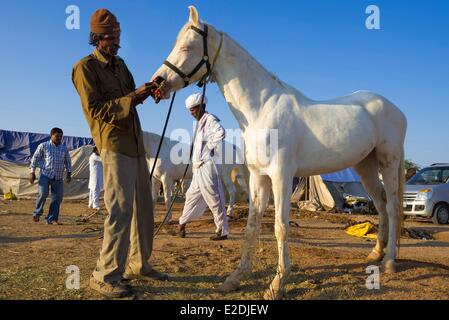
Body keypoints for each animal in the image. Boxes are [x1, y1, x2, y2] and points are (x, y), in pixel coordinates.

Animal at [152, 6, 408, 298]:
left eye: (186, 46)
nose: (158, 82)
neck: (261, 108)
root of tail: (395, 109)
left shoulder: (281, 176)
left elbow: (280, 227)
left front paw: (277, 283)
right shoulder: (258, 178)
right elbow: (252, 227)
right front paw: (235, 278)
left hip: (389, 162)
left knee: (393, 207)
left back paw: (389, 261)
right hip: (365, 166)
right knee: (381, 204)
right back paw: (376, 254)